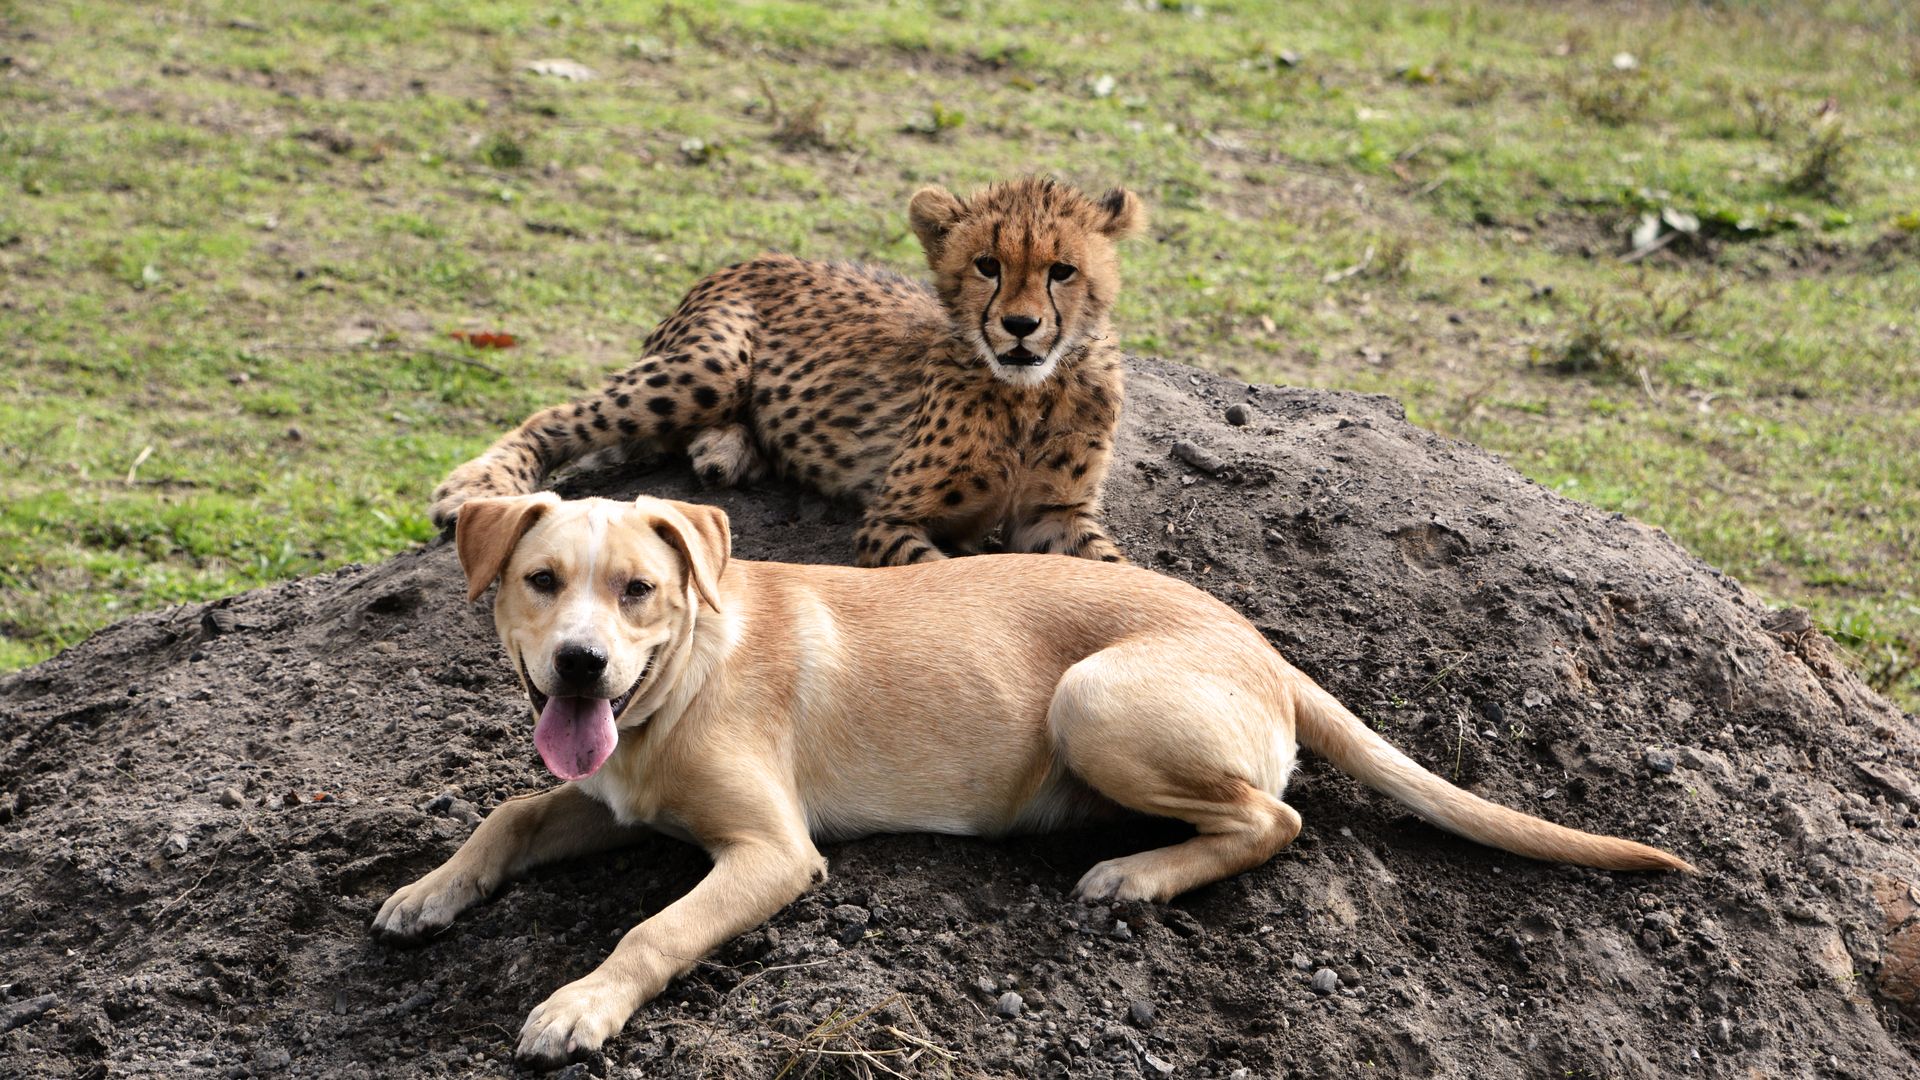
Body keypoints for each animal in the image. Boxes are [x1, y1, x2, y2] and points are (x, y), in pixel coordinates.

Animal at [429, 176, 1147, 567]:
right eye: (987, 265)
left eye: (1062, 270)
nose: (1020, 326)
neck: (1030, 394)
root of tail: (753, 257)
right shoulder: (890, 517)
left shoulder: (1053, 513)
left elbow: (1122, 568)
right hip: (709, 363)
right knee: (554, 416)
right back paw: (477, 486)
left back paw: (727, 450)